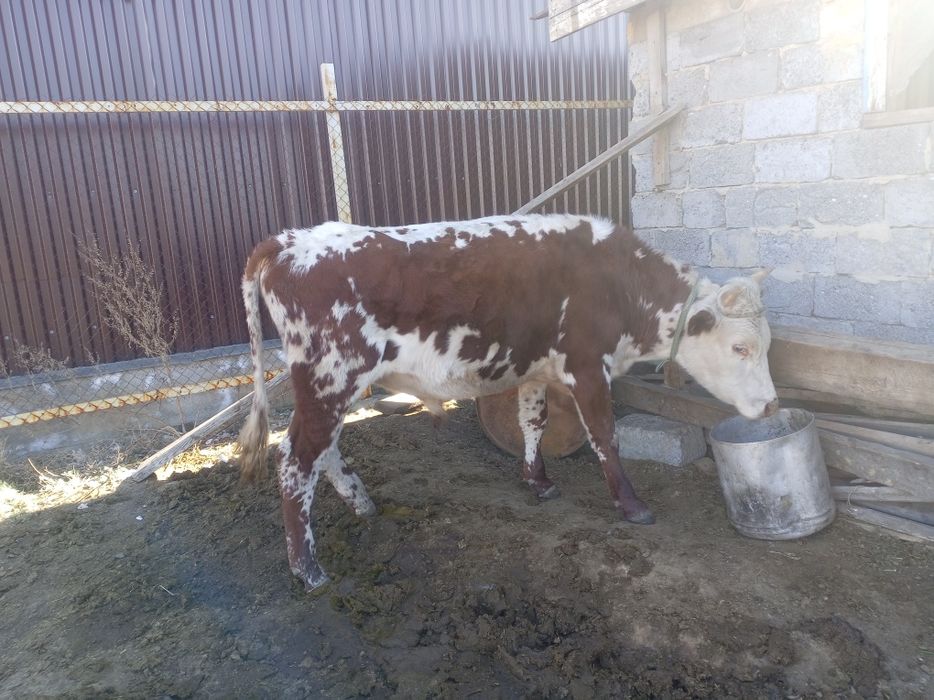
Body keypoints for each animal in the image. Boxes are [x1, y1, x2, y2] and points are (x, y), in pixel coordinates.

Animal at [237, 214, 778, 590]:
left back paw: (361, 501)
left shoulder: (537, 371)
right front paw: (631, 505)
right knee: (296, 460)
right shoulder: (588, 366)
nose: (773, 407)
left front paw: (537, 481)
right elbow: (605, 436)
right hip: (329, 376)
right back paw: (307, 568)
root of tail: (291, 240)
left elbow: (532, 422)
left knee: (319, 449)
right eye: (740, 347)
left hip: (329, 385)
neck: (617, 285)